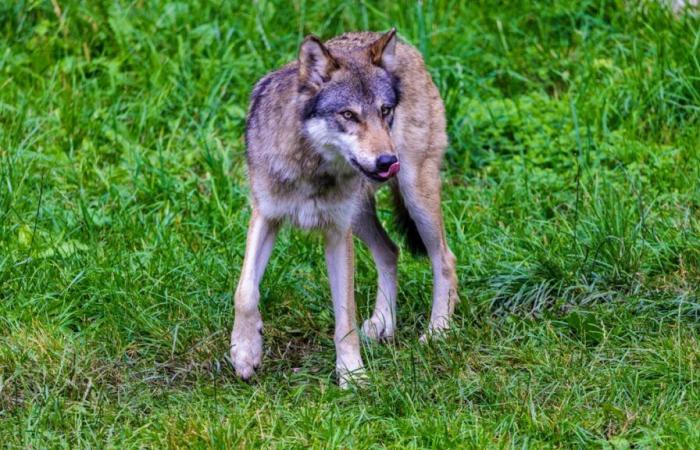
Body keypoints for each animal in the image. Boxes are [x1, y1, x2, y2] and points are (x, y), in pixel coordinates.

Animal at [230, 29, 460, 386]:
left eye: (385, 111)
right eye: (349, 115)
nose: (387, 161)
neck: (311, 167)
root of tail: (407, 48)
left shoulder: (338, 234)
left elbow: (345, 317)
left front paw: (352, 374)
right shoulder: (265, 215)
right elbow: (244, 292)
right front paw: (245, 352)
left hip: (413, 196)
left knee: (444, 259)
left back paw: (437, 332)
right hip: (361, 215)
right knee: (391, 251)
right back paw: (383, 324)